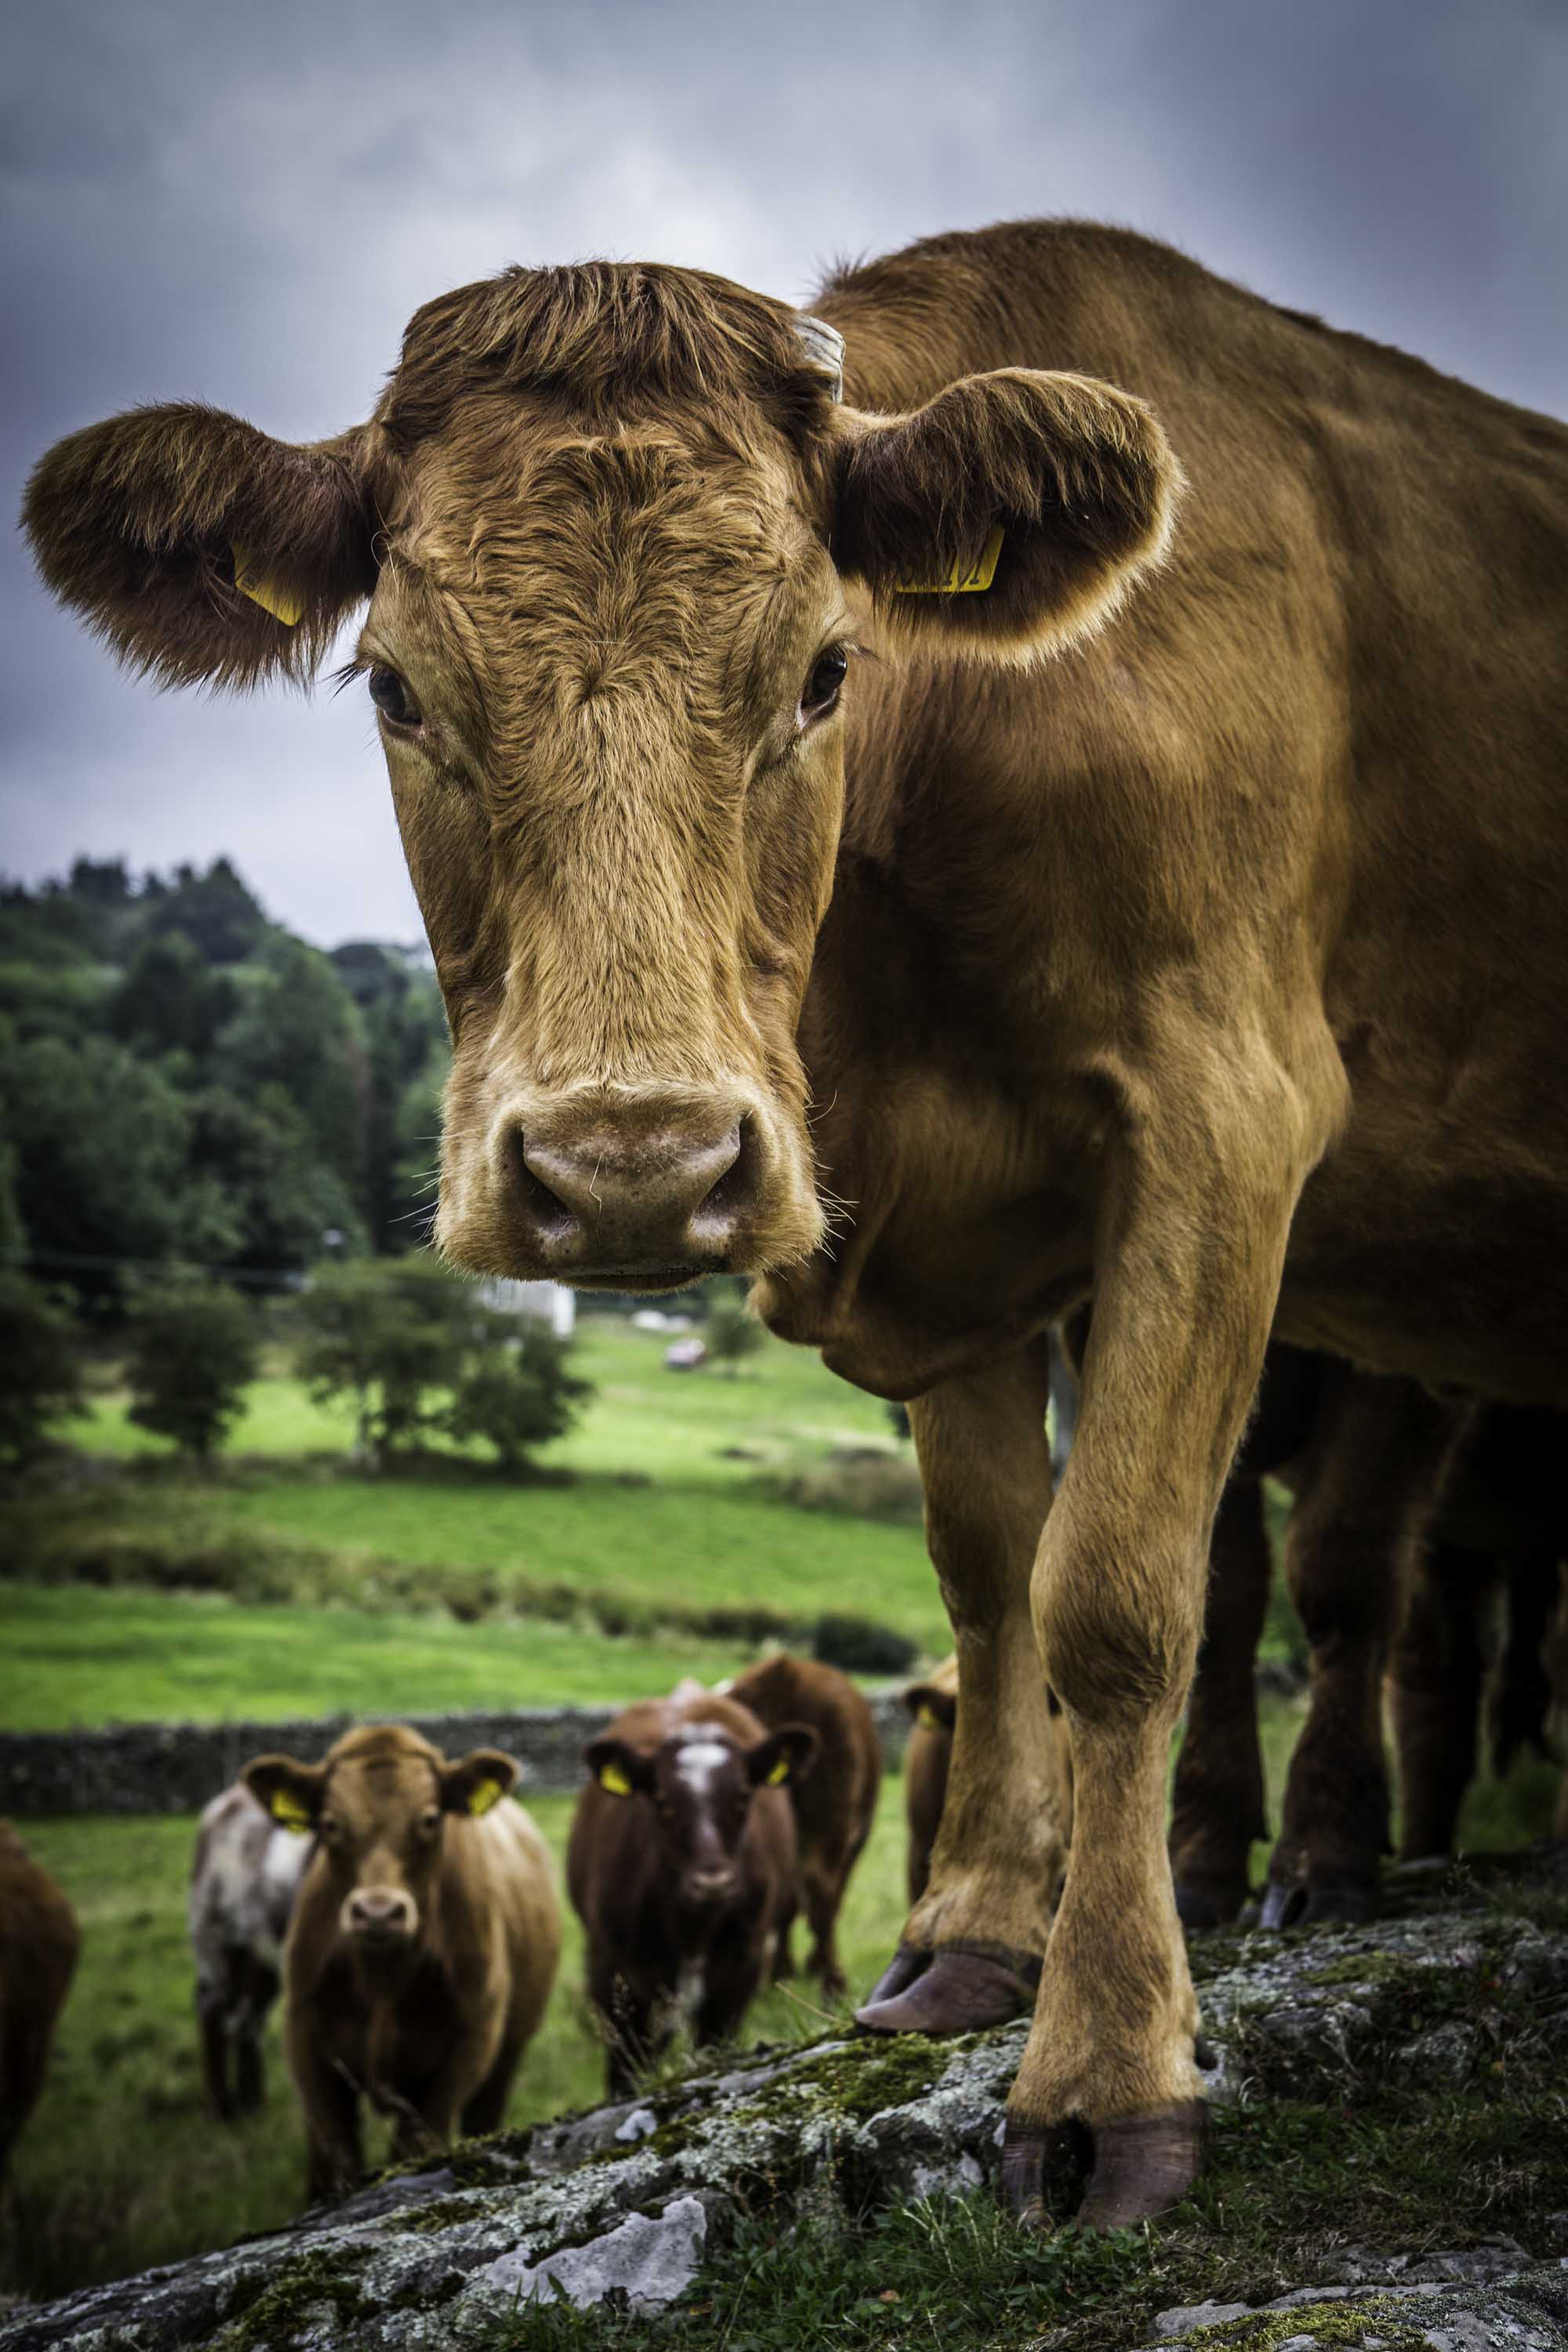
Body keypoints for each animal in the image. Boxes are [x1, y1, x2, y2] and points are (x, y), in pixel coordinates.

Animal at [189, 1782, 309, 2121]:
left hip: (260, 1954)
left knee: (248, 2016)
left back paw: (252, 2102)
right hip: (213, 1932)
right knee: (212, 2010)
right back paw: (221, 2108)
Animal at [243, 1725, 559, 2203]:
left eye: (429, 1819)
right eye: (330, 1824)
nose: (378, 1913)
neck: (382, 1980)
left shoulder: (469, 2044)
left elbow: (414, 2145)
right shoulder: (305, 2039)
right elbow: (336, 2152)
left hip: (506, 2056)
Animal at [568, 1689, 816, 2096]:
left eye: (742, 1796)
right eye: (663, 1802)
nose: (712, 1882)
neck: (690, 1928)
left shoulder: (740, 1969)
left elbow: (713, 2043)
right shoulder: (610, 1967)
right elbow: (625, 2064)